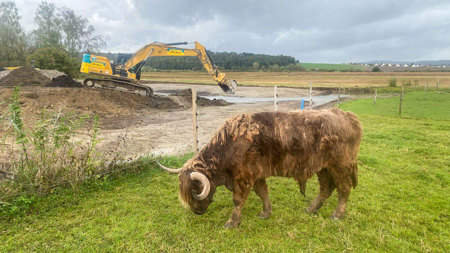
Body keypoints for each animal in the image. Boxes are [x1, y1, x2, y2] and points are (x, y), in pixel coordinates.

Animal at [158, 107, 362, 227]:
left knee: (343, 189)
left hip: (340, 165)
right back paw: (311, 209)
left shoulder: (243, 177)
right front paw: (266, 213)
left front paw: (232, 222)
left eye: (194, 191)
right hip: (323, 168)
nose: (196, 212)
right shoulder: (256, 174)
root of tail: (350, 117)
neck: (230, 144)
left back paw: (337, 215)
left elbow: (238, 200)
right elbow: (263, 192)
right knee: (326, 188)